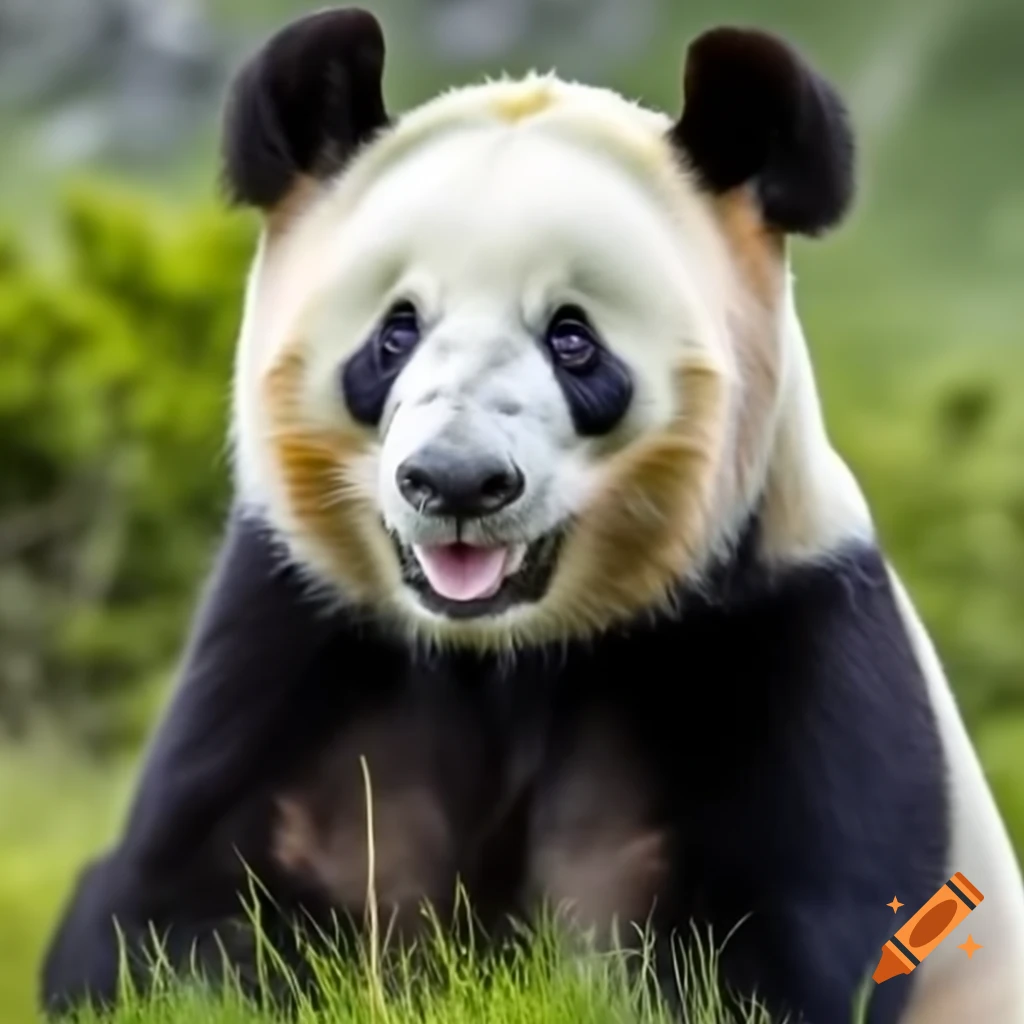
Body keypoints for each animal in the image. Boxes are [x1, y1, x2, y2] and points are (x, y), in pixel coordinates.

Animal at [40, 8, 1024, 1024]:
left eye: (573, 338)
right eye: (396, 332)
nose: (456, 482)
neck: (500, 653)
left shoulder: (788, 638)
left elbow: (772, 951)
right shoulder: (293, 638)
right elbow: (158, 919)